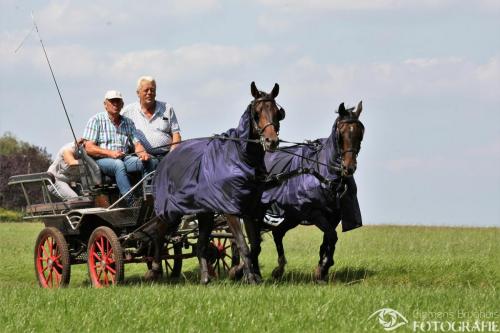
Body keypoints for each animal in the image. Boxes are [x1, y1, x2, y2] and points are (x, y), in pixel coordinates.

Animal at [146, 80, 284, 282]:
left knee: (201, 243)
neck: (239, 158)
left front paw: (247, 273)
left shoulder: (249, 209)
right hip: (171, 210)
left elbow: (255, 245)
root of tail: (165, 160)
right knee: (158, 234)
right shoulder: (230, 210)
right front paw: (247, 276)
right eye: (257, 113)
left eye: (277, 112)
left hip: (204, 212)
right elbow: (243, 244)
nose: (271, 141)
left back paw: (205, 276)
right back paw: (155, 268)